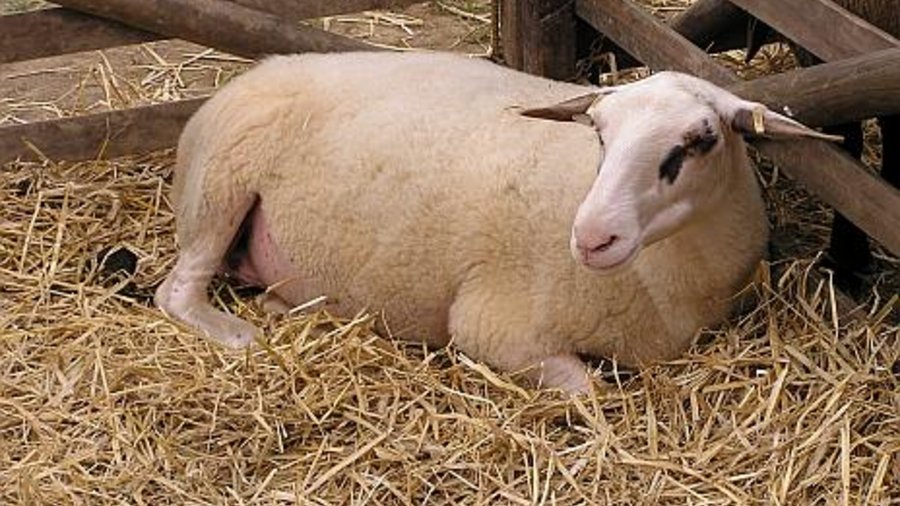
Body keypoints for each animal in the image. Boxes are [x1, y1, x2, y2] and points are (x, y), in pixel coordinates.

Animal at [155, 50, 836, 392]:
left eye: (700, 141)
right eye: (598, 131)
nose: (592, 237)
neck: (671, 279)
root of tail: (251, 73)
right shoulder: (492, 327)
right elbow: (590, 394)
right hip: (218, 188)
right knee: (177, 291)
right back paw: (238, 335)